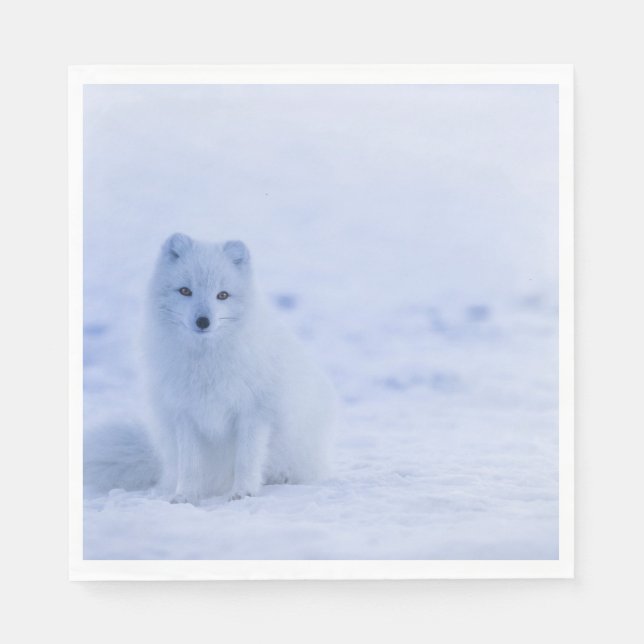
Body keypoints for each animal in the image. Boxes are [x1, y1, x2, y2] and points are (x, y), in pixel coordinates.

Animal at [141, 233, 336, 503]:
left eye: (222, 295)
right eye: (185, 291)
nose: (203, 321)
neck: (206, 362)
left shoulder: (253, 411)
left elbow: (247, 458)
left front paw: (243, 492)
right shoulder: (185, 414)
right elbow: (190, 464)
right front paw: (185, 496)